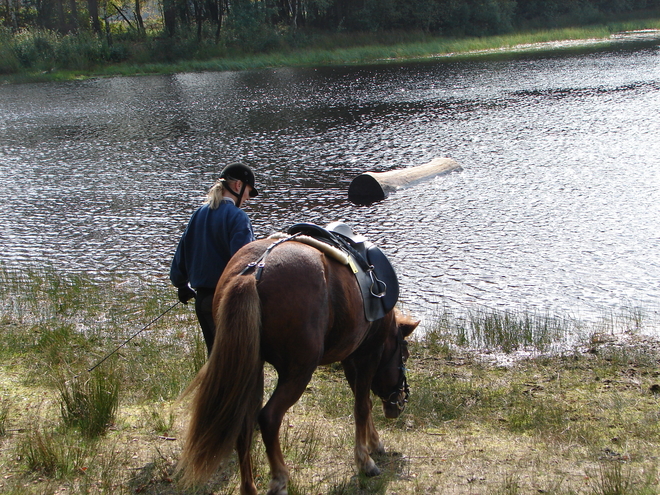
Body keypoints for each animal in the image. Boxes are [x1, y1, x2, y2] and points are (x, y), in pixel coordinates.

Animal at [175, 238, 420, 494]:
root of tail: (254, 271)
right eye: (404, 356)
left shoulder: (350, 358)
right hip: (299, 372)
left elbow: (364, 403)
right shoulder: (367, 354)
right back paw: (280, 478)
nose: (399, 405)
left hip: (251, 370)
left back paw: (249, 487)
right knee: (269, 418)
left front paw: (374, 443)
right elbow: (362, 407)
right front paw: (365, 461)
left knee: (243, 423)